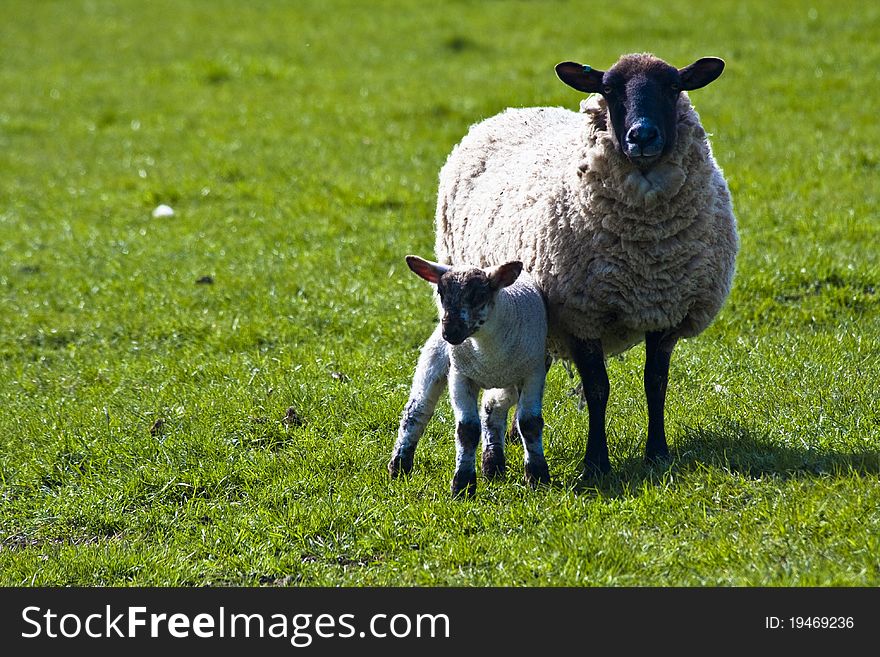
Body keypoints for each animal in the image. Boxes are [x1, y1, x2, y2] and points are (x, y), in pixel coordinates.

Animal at [390, 254, 552, 494]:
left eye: (478, 296)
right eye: (441, 293)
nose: (450, 332)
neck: (487, 351)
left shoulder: (533, 373)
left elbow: (529, 423)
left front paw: (538, 477)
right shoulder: (460, 376)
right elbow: (467, 430)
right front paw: (463, 485)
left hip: (511, 381)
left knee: (491, 410)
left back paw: (493, 465)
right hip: (435, 357)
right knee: (416, 411)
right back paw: (399, 466)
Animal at [436, 53, 740, 476]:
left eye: (673, 86)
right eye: (609, 89)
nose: (642, 136)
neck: (646, 255)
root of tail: (513, 111)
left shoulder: (666, 311)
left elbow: (655, 383)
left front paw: (657, 452)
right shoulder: (581, 316)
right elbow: (598, 389)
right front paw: (596, 461)